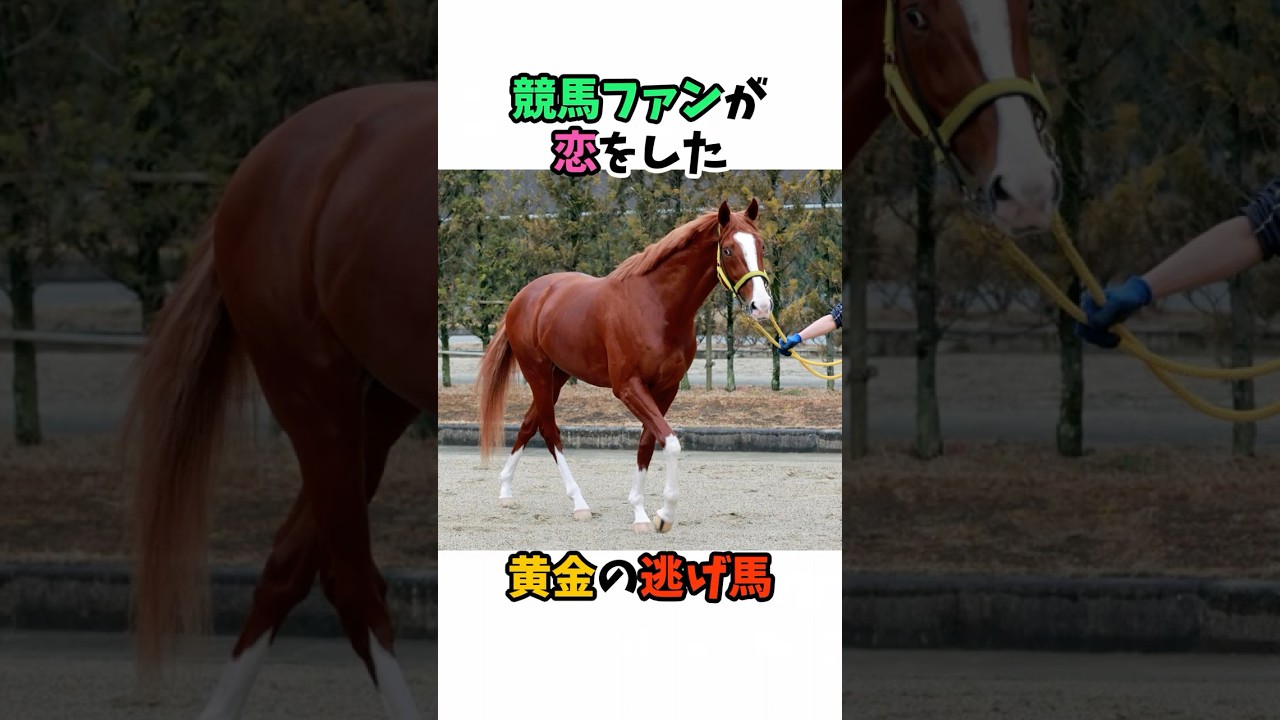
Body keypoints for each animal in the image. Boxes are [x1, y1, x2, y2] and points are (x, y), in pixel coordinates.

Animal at [476, 199, 772, 534]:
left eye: (761, 245)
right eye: (729, 250)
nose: (762, 306)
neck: (657, 306)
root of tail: (524, 297)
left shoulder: (666, 389)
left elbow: (647, 443)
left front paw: (642, 512)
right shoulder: (628, 387)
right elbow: (670, 442)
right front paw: (662, 515)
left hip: (558, 376)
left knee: (529, 424)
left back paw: (505, 491)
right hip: (536, 372)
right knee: (550, 431)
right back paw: (579, 503)